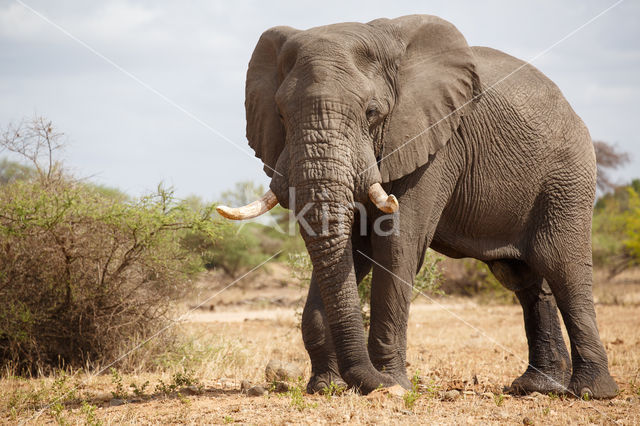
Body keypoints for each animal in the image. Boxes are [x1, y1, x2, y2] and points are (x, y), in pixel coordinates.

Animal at [218, 14, 616, 400]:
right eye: (281, 115)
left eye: (372, 112)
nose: (365, 384)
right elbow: (353, 250)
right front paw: (325, 388)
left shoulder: (436, 143)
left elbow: (396, 246)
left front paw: (392, 386)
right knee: (525, 278)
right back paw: (536, 388)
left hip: (567, 177)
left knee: (562, 265)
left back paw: (591, 392)